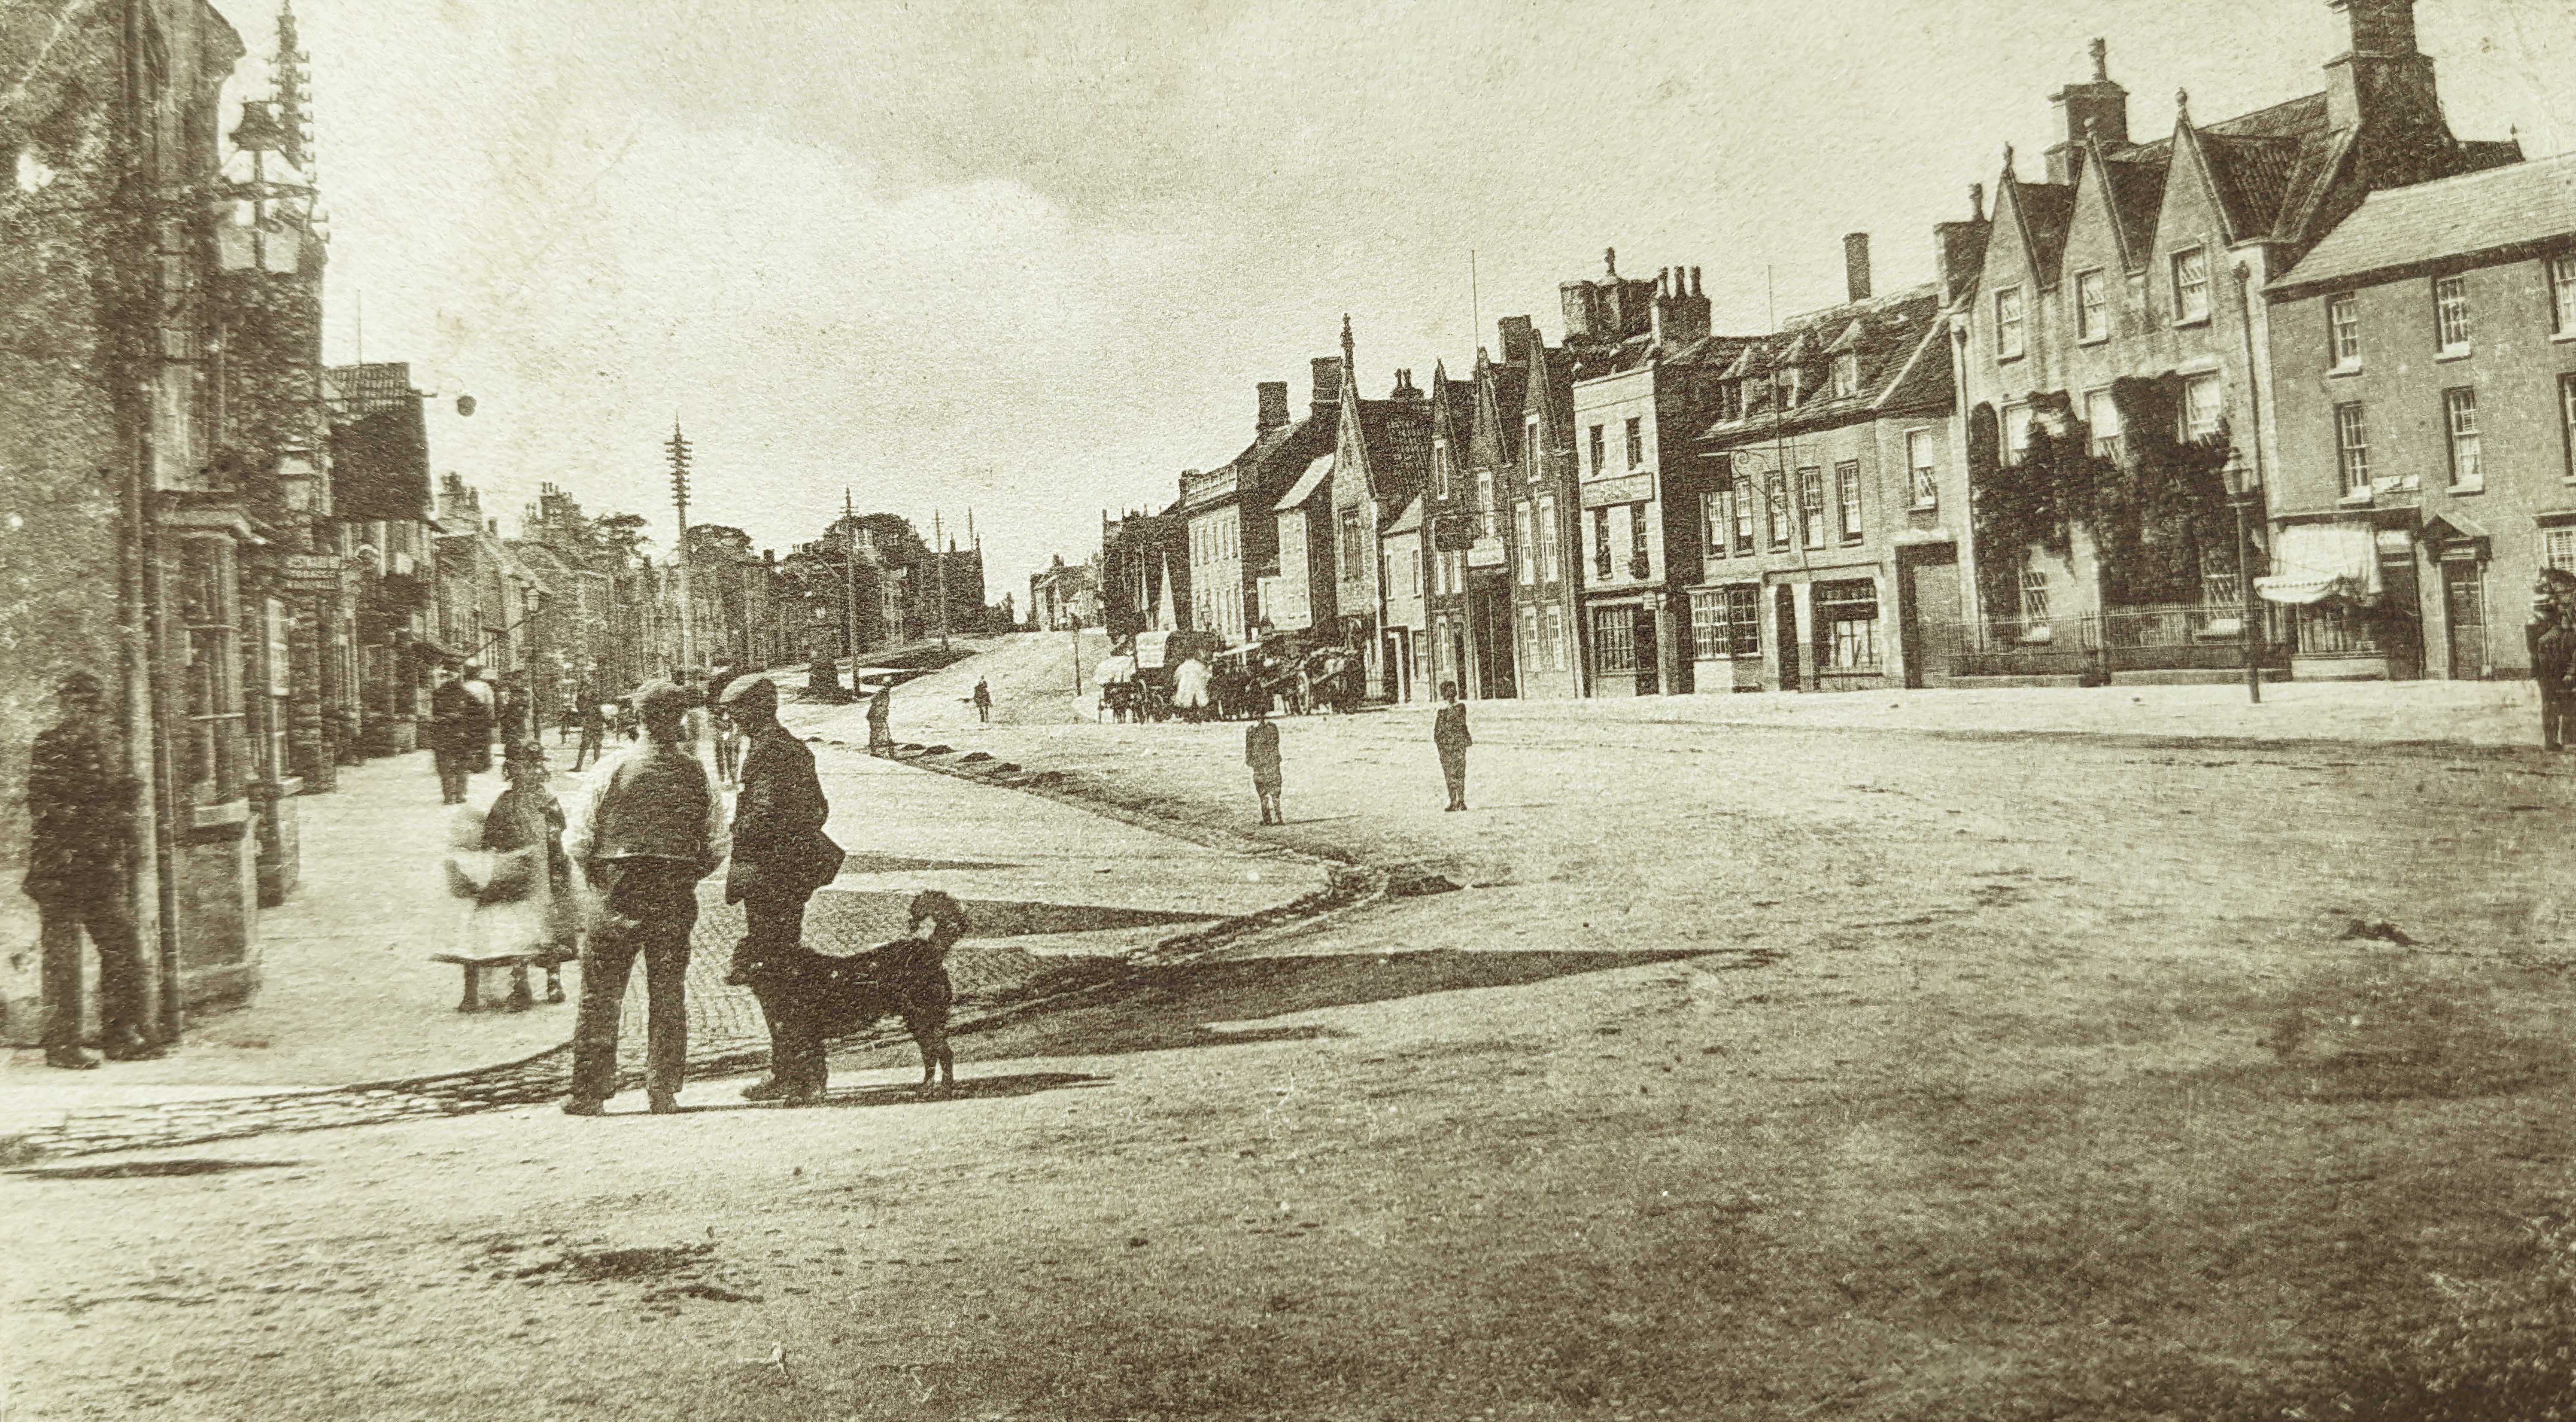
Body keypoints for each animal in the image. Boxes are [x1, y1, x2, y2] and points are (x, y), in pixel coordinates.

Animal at [747, 886, 969, 1097]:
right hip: (919, 1023)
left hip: (925, 1020)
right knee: (932, 1056)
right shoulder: (804, 1037)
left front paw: (807, 1095)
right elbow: (811, 1067)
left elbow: (809, 1067)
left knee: (943, 1054)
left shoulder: (804, 1036)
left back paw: (944, 1088)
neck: (791, 970)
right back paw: (927, 1087)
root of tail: (932, 949)